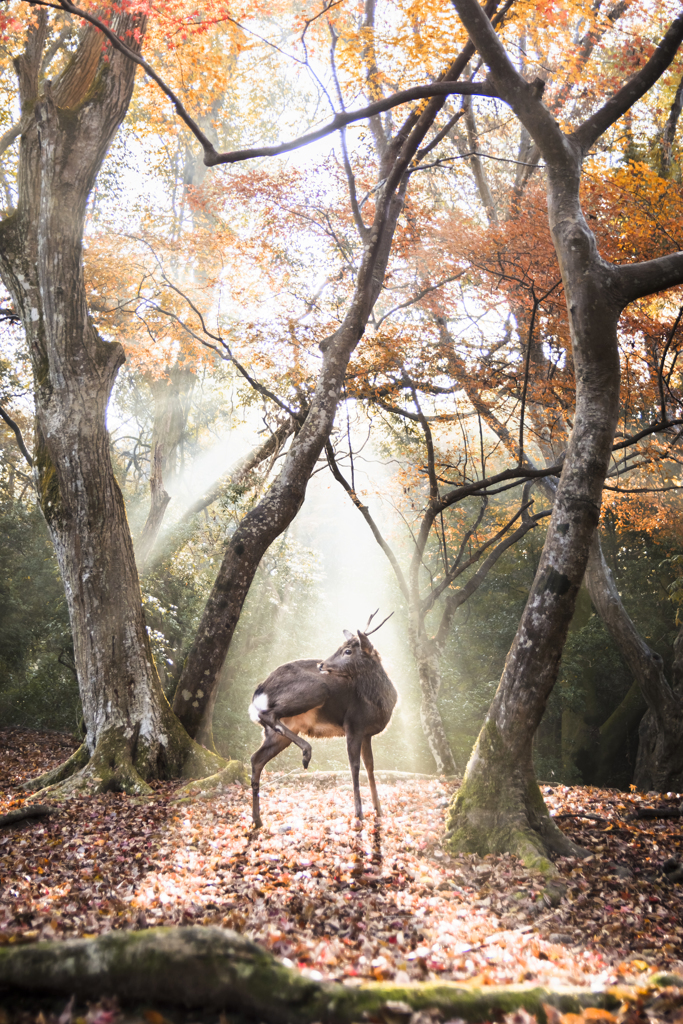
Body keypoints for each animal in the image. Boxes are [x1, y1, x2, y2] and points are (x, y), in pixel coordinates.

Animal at [246, 610, 395, 827]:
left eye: (347, 651)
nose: (321, 664)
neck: (377, 703)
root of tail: (259, 692)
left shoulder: (366, 733)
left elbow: (370, 767)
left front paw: (379, 811)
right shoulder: (353, 724)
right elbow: (354, 766)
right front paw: (359, 815)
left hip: (277, 734)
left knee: (256, 758)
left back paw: (257, 820)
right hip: (318, 690)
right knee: (268, 715)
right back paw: (306, 753)